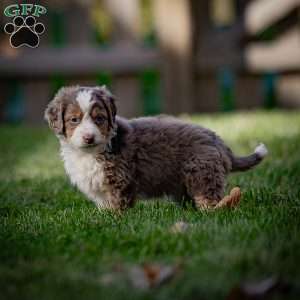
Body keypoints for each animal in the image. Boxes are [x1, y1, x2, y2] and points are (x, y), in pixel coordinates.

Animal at [44, 85, 268, 210]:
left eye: (99, 118)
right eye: (74, 120)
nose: (89, 137)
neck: (91, 153)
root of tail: (218, 141)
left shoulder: (120, 181)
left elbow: (117, 205)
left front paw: (115, 220)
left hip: (202, 173)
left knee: (208, 198)